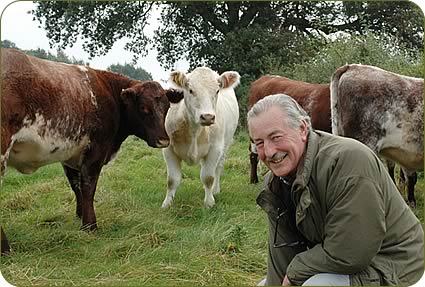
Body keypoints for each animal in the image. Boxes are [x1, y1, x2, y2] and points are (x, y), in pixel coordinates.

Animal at [1, 48, 184, 253]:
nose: (163, 140)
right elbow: (89, 187)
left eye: (167, 107)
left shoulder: (70, 153)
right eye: (144, 108)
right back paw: (5, 248)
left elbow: (76, 187)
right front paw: (90, 225)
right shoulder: (96, 150)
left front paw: (80, 215)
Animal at [161, 66, 240, 208]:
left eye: (217, 91)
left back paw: (215, 190)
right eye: (191, 90)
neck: (194, 130)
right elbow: (172, 180)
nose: (207, 117)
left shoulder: (215, 149)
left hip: (225, 146)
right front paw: (167, 203)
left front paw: (209, 202)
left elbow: (208, 177)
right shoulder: (168, 149)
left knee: (217, 169)